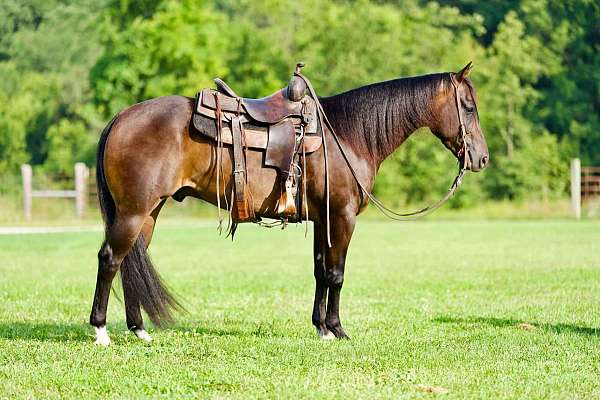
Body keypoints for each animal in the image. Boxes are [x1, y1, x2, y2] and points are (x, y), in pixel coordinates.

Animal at [91, 62, 490, 344]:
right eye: (469, 107)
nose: (481, 158)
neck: (347, 136)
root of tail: (121, 117)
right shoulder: (342, 217)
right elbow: (337, 273)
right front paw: (337, 329)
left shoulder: (322, 219)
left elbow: (320, 271)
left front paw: (321, 328)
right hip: (133, 212)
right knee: (110, 259)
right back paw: (101, 331)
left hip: (148, 213)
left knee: (130, 261)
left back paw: (139, 329)